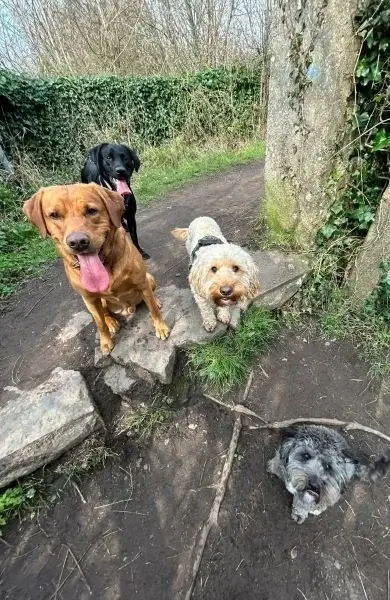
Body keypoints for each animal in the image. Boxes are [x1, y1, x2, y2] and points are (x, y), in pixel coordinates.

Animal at [23, 183, 169, 352]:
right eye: (54, 215)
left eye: (91, 210)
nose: (78, 242)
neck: (106, 265)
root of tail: (128, 309)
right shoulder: (90, 300)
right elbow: (99, 324)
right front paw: (105, 341)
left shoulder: (142, 282)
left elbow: (153, 309)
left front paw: (160, 327)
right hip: (100, 302)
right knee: (105, 314)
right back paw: (111, 322)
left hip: (150, 278)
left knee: (149, 298)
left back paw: (155, 301)